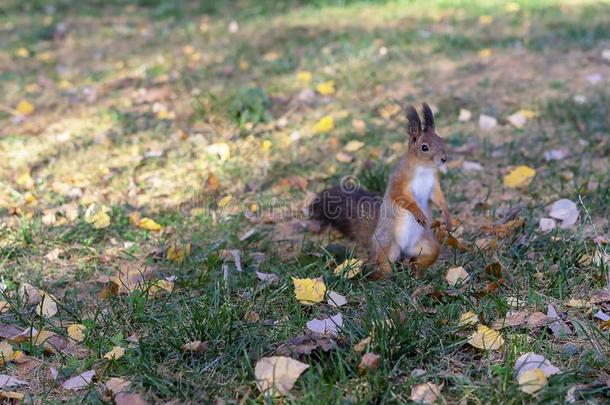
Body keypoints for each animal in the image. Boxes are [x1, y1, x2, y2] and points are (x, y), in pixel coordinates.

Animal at [312, 102, 448, 278]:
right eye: (424, 147)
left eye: (441, 140)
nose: (444, 159)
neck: (423, 169)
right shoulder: (398, 181)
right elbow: (401, 197)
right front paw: (417, 212)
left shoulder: (433, 184)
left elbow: (439, 198)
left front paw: (447, 215)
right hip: (387, 246)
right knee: (380, 266)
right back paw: (386, 277)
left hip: (427, 245)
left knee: (428, 255)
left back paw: (416, 268)